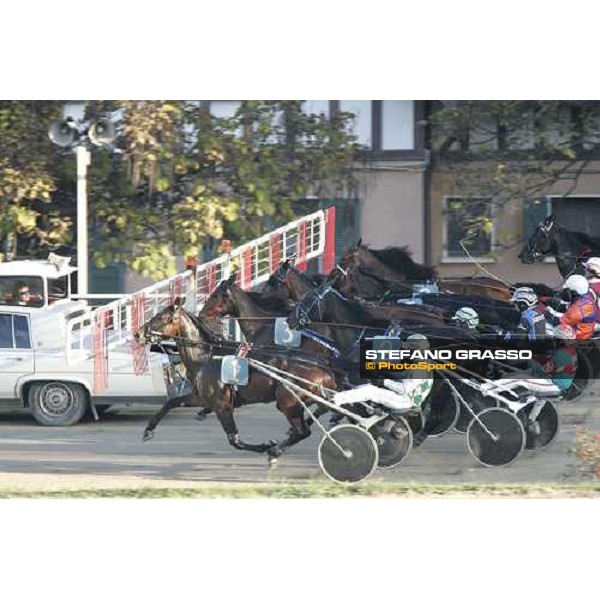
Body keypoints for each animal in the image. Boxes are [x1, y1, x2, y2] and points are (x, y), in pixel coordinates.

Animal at [135, 300, 338, 464]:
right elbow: (171, 402)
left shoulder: (222, 406)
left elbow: (235, 440)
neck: (206, 356)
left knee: (303, 431)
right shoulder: (201, 398)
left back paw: (275, 451)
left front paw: (266, 446)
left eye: (160, 317)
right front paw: (148, 431)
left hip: (288, 401)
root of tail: (325, 370)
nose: (137, 333)